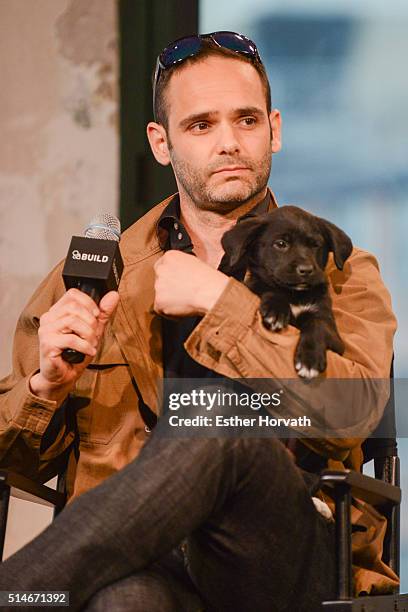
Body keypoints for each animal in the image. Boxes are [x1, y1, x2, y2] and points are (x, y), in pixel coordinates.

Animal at [222, 206, 352, 378]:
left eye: (315, 245)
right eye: (281, 244)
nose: (306, 270)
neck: (294, 295)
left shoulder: (335, 337)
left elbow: (317, 323)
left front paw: (309, 360)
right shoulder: (256, 287)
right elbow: (270, 288)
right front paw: (276, 311)